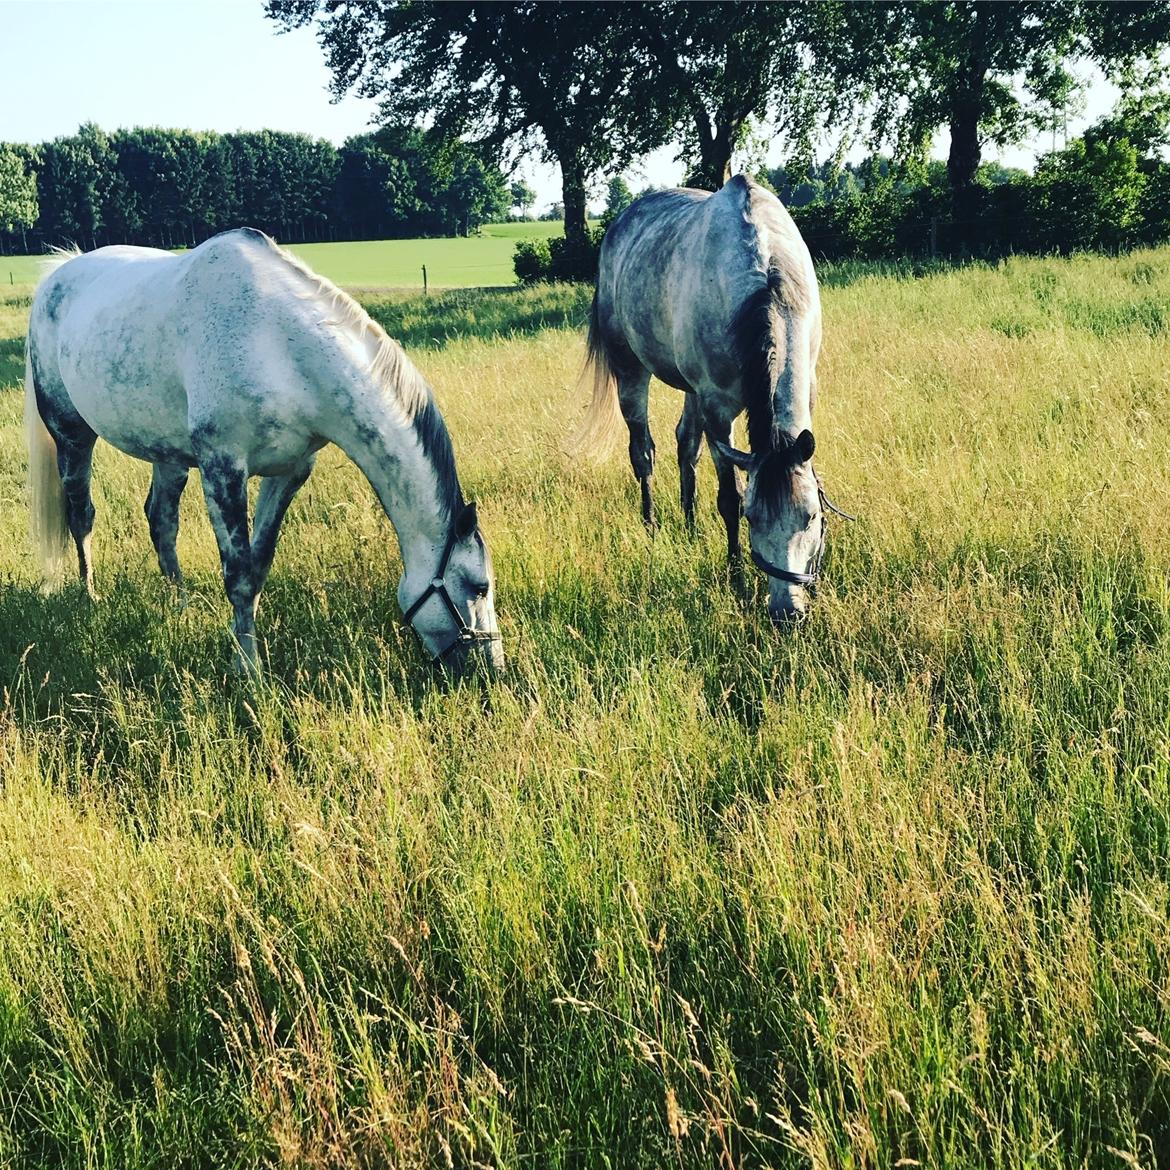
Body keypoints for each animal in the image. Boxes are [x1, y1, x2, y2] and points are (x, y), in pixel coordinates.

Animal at [23, 226, 503, 678]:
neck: (278, 346)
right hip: (72, 435)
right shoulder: (223, 469)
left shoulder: (289, 472)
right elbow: (238, 576)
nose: (493, 668)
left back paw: (181, 607)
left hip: (169, 456)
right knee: (81, 515)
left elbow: (258, 567)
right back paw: (90, 596)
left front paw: (243, 652)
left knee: (161, 522)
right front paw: (249, 671)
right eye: (478, 586)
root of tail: (59, 274)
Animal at [573, 175, 851, 622]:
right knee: (643, 453)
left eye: (811, 516)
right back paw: (651, 527)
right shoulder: (718, 408)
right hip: (631, 371)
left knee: (686, 445)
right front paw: (737, 577)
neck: (766, 286)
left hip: (691, 392)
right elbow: (729, 497)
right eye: (753, 517)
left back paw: (690, 527)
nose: (786, 612)